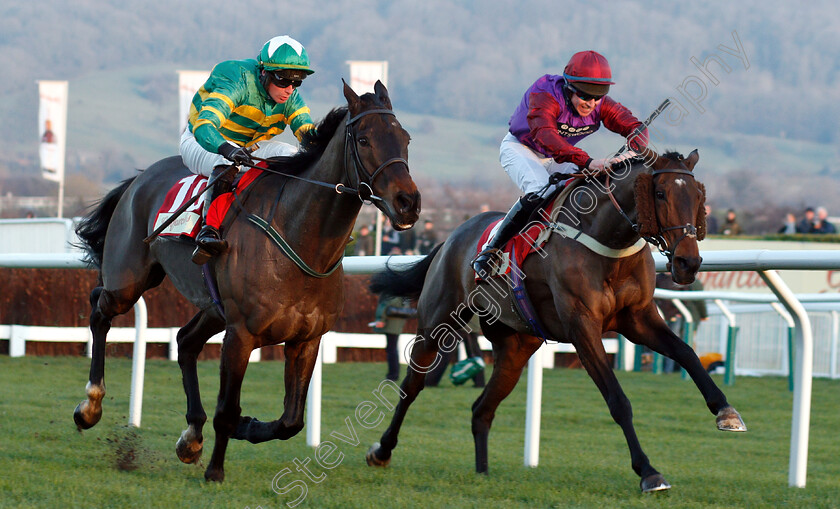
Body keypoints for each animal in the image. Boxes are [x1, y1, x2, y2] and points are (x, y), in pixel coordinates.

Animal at [72, 81, 420, 482]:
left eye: (405, 138)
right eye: (363, 140)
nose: (409, 202)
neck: (300, 238)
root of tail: (139, 178)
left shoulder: (306, 339)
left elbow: (291, 421)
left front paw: (245, 426)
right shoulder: (241, 334)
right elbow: (227, 409)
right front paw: (215, 471)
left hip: (212, 307)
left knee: (185, 341)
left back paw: (191, 436)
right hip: (129, 281)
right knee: (100, 307)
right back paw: (90, 406)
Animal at [364, 149, 744, 490]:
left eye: (698, 196)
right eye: (661, 193)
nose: (688, 263)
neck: (608, 241)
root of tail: (449, 240)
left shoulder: (638, 319)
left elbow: (687, 354)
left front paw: (726, 412)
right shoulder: (582, 325)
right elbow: (618, 400)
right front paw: (648, 472)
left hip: (516, 346)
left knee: (481, 408)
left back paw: (482, 473)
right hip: (437, 324)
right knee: (411, 388)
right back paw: (381, 451)